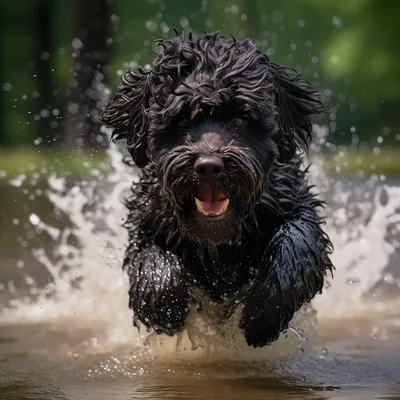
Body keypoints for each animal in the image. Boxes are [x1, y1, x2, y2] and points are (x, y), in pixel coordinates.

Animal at [101, 32, 334, 346]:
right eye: (182, 119)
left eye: (240, 119)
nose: (209, 166)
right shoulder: (147, 219)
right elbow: (150, 256)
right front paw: (165, 309)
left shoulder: (294, 202)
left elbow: (296, 238)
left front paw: (264, 314)